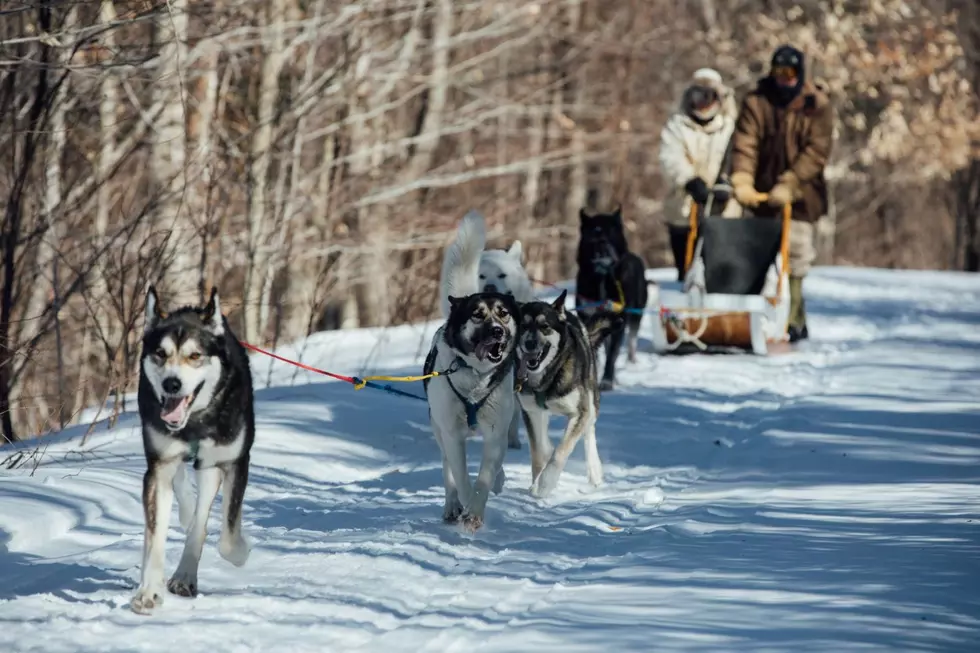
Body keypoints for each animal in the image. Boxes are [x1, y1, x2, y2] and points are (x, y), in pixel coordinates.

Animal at [130, 284, 253, 612]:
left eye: (195, 355)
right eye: (161, 354)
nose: (172, 384)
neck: (194, 424)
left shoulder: (234, 461)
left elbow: (227, 537)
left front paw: (241, 551)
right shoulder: (159, 466)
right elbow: (156, 536)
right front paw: (149, 591)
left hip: (211, 466)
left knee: (200, 521)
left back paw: (185, 574)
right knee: (185, 497)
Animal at [426, 211, 524, 532]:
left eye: (504, 314)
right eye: (477, 315)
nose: (497, 332)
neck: (476, 379)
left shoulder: (495, 432)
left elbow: (484, 478)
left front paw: (476, 511)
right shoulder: (452, 432)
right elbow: (461, 475)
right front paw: (466, 506)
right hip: (439, 428)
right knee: (448, 471)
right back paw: (452, 506)